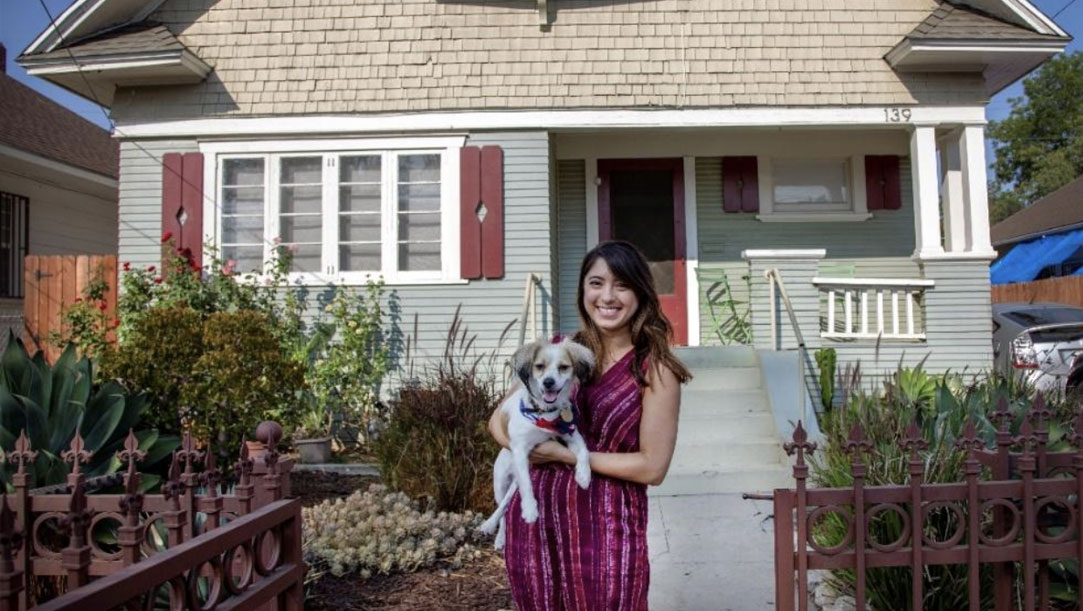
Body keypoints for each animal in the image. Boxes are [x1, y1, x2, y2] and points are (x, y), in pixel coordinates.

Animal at [480, 333, 597, 548]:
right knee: (502, 509)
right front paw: (530, 510)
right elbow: (527, 484)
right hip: (500, 483)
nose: (548, 382)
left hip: (513, 483)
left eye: (563, 367)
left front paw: (584, 476)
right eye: (539, 366)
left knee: (506, 505)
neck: (543, 413)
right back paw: (495, 532)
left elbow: (584, 452)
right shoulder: (520, 450)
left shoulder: (571, 435)